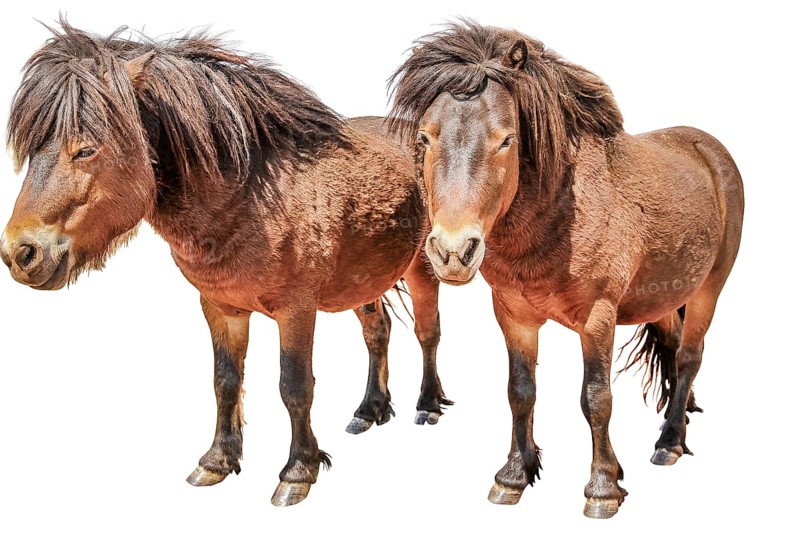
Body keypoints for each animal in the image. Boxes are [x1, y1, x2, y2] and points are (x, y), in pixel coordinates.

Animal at [0, 22, 453, 506]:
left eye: (85, 150)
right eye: (32, 150)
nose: (20, 253)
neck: (251, 198)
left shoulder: (297, 311)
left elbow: (295, 386)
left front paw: (298, 471)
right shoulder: (221, 307)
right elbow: (225, 381)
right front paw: (217, 461)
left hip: (423, 268)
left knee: (428, 333)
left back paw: (427, 406)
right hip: (365, 280)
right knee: (377, 332)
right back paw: (370, 410)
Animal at [388, 21, 744, 518]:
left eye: (506, 139)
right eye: (424, 139)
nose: (453, 252)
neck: (557, 215)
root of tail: (709, 148)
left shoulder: (598, 318)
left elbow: (596, 399)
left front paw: (603, 487)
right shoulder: (513, 314)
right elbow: (520, 391)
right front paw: (514, 475)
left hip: (710, 288)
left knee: (691, 356)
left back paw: (670, 442)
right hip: (663, 296)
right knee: (675, 351)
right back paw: (676, 421)